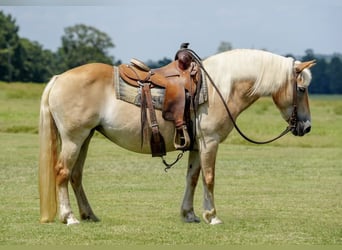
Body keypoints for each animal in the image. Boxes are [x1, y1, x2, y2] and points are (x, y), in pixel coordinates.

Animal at [38, 47, 316, 225]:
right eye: (302, 89)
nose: (306, 127)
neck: (218, 88)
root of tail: (59, 78)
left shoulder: (196, 146)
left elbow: (192, 178)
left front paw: (190, 214)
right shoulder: (210, 141)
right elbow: (209, 178)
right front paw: (212, 216)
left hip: (85, 138)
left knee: (75, 175)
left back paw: (89, 215)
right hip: (74, 139)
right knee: (62, 172)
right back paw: (69, 217)